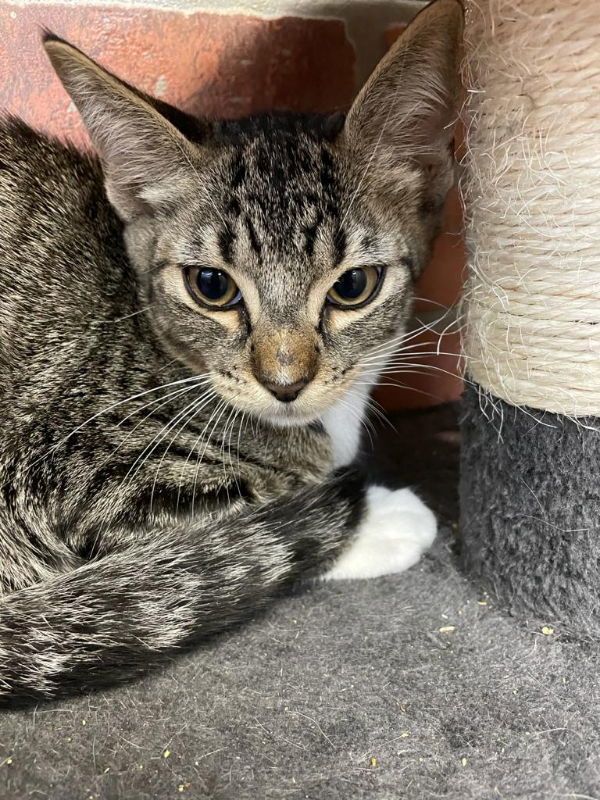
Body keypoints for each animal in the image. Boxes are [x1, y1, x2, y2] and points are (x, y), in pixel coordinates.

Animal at [0, 0, 462, 700]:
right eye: (211, 287)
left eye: (353, 286)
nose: (285, 381)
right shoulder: (66, 479)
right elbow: (238, 531)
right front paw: (378, 516)